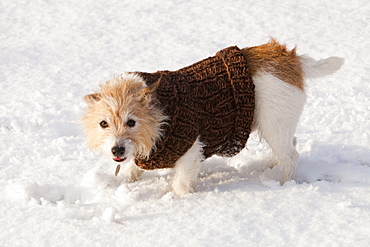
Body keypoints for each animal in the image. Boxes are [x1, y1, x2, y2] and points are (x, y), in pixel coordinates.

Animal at [81, 38, 344, 196]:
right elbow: (132, 170)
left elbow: (181, 183)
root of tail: (289, 58)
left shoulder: (190, 148)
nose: (117, 150)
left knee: (291, 156)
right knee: (291, 145)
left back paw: (283, 185)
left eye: (131, 122)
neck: (161, 112)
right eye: (103, 123)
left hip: (274, 124)